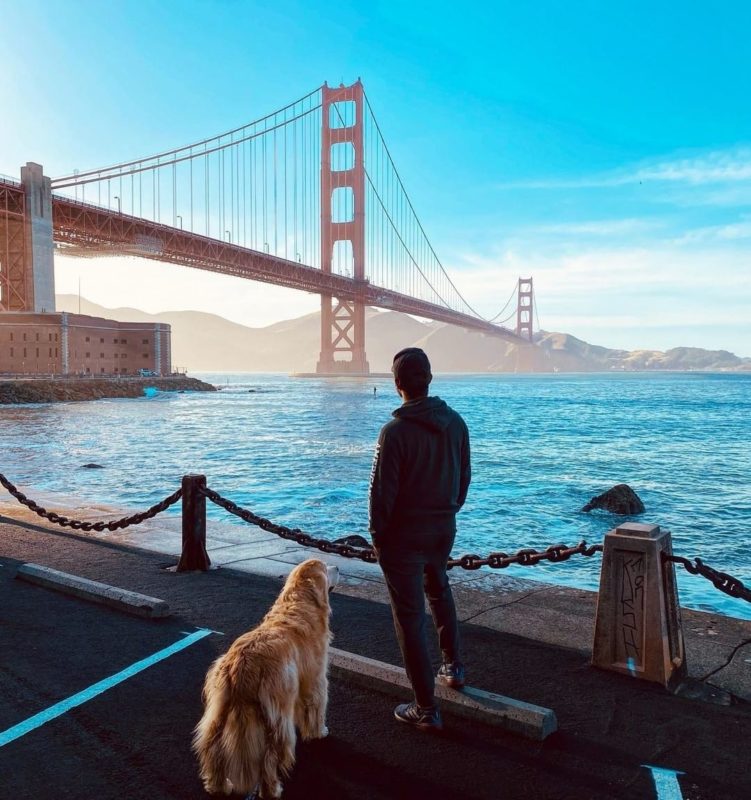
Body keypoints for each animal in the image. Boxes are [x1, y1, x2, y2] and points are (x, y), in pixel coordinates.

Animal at [192, 560, 340, 796]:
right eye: (326, 568)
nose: (338, 568)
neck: (299, 601)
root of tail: (241, 668)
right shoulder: (315, 681)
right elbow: (316, 709)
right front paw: (319, 732)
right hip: (277, 721)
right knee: (270, 759)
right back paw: (272, 789)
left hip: (219, 712)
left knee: (213, 748)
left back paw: (218, 785)